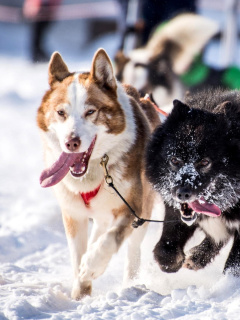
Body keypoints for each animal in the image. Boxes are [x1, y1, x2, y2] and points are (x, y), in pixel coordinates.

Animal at [37, 48, 159, 300]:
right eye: (61, 112)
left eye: (90, 112)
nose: (71, 142)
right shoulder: (73, 213)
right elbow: (77, 255)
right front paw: (80, 292)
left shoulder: (130, 207)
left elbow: (111, 240)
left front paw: (92, 266)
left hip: (143, 212)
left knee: (132, 248)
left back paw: (130, 283)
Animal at [145, 89, 240, 276]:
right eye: (175, 160)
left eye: (204, 162)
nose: (183, 193)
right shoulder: (175, 211)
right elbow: (166, 249)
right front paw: (173, 260)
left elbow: (233, 266)